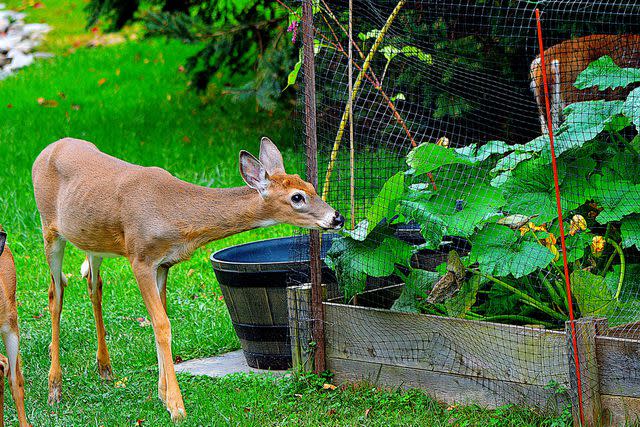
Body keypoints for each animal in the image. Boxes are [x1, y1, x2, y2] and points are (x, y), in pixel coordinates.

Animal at [32, 137, 344, 422]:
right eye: (296, 197)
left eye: (312, 187)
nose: (337, 218)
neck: (177, 215)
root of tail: (47, 150)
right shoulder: (140, 257)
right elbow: (161, 324)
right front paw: (176, 406)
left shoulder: (163, 263)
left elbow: (159, 321)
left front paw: (161, 393)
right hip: (49, 229)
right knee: (55, 294)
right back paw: (54, 388)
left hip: (92, 239)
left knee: (93, 285)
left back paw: (105, 370)